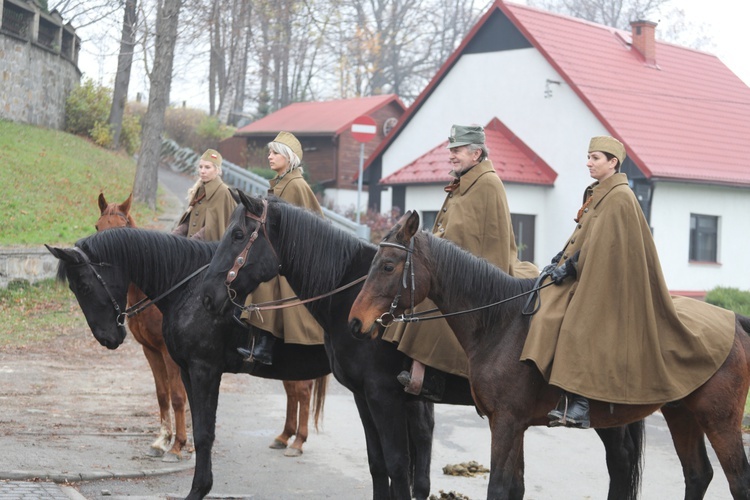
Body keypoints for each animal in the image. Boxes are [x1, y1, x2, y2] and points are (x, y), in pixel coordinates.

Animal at [45, 229, 330, 500]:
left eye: (84, 285)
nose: (107, 338)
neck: (191, 290)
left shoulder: (204, 370)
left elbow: (204, 432)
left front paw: (197, 486)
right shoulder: (186, 371)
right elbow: (193, 419)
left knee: (301, 392)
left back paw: (296, 442)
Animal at [96, 193, 326, 458]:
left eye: (121, 228)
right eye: (98, 227)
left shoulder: (172, 356)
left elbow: (177, 397)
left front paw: (178, 445)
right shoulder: (151, 351)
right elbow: (162, 394)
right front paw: (162, 440)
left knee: (303, 391)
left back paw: (298, 441)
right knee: (292, 390)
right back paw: (284, 436)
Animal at [201, 193, 652, 500]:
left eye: (238, 234)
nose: (208, 296)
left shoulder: (385, 396)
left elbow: (399, 466)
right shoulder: (367, 398)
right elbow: (380, 465)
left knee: (619, 466)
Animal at [350, 210, 750, 500]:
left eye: (387, 266)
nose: (355, 322)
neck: (501, 322)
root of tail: (734, 322)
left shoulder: (506, 423)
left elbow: (498, 488)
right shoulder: (513, 424)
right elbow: (515, 488)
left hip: (719, 421)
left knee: (737, 482)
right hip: (681, 413)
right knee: (696, 475)